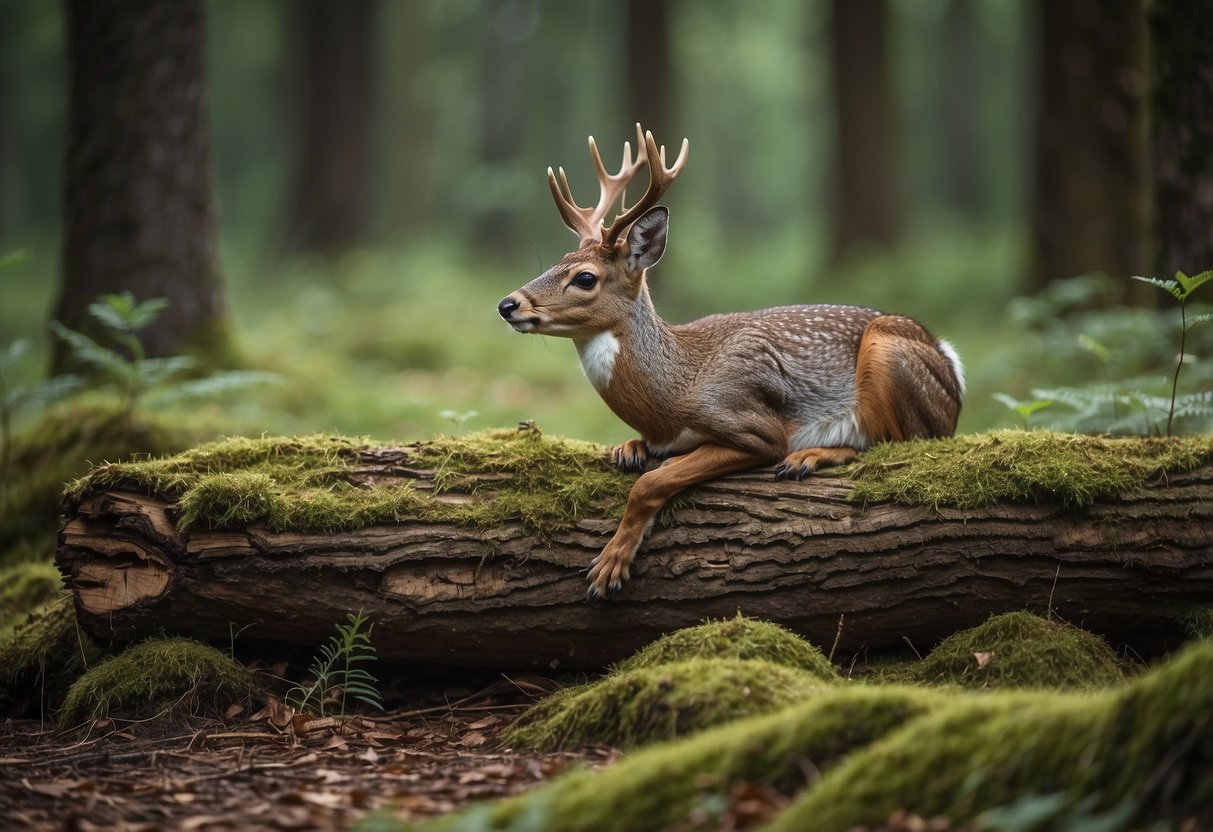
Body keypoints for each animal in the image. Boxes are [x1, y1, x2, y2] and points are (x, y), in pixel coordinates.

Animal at [494, 125, 965, 599]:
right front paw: (628, 449)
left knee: (897, 440)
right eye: (558, 261)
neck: (672, 399)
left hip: (888, 353)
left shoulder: (751, 423)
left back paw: (808, 457)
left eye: (585, 278)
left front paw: (609, 566)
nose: (508, 304)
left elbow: (653, 480)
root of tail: (950, 362)